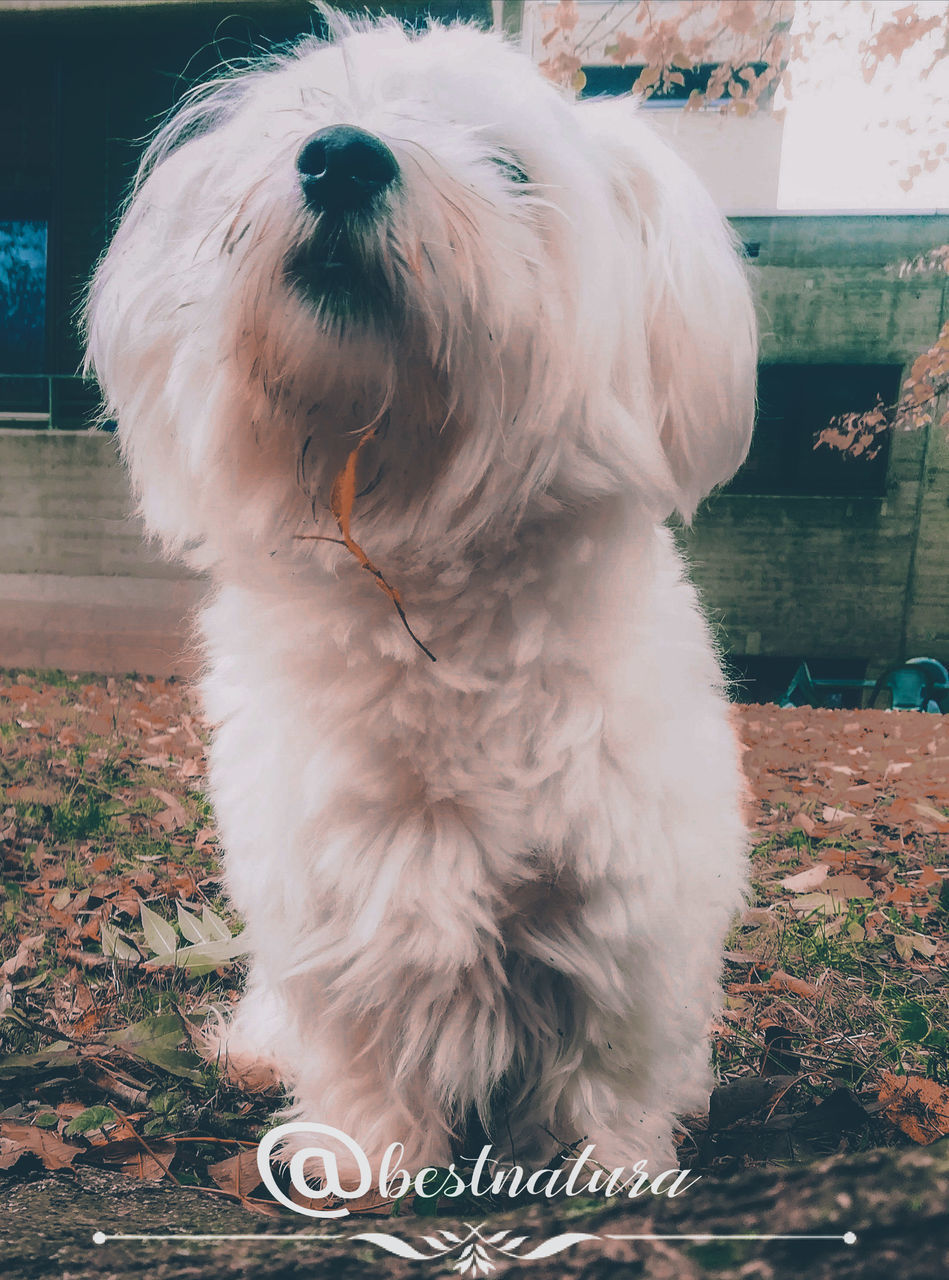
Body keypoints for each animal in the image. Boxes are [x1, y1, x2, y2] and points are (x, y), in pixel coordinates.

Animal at [87, 12, 753, 1177]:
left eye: (508, 167)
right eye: (314, 117)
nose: (342, 157)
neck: (424, 588)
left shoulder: (625, 911)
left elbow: (606, 1069)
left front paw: (607, 1168)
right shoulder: (337, 900)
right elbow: (363, 1052)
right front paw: (357, 1156)